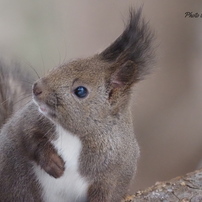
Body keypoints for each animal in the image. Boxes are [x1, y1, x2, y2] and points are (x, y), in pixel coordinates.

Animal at [0, 8, 153, 202]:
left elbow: (105, 193)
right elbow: (28, 135)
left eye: (81, 91)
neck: (74, 134)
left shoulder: (113, 172)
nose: (36, 88)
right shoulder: (28, 118)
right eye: (64, 65)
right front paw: (53, 163)